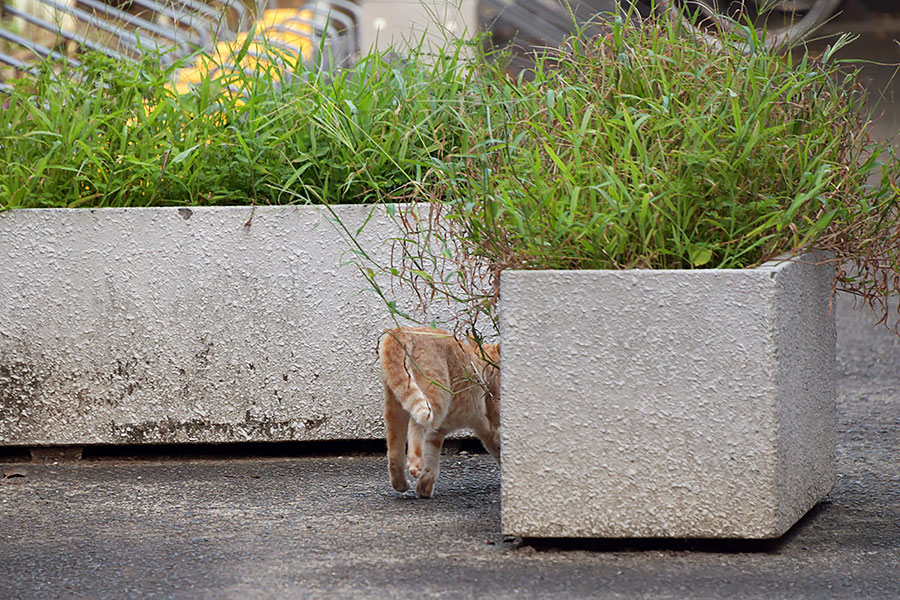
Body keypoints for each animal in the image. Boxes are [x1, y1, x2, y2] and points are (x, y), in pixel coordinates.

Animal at [372, 326, 500, 500]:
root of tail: (403, 329)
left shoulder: (437, 432)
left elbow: (431, 456)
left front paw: (424, 486)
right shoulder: (492, 429)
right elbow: (501, 452)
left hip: (396, 407)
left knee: (394, 451)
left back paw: (401, 483)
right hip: (435, 398)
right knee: (416, 423)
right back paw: (414, 463)